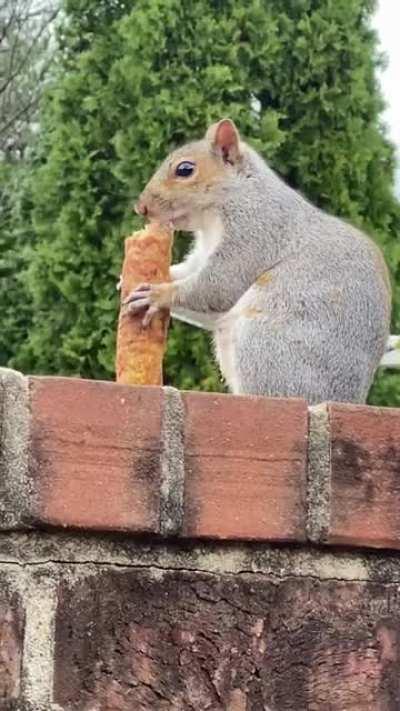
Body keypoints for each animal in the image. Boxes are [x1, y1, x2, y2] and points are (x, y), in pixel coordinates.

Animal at [126, 118, 392, 404]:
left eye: (185, 169)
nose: (141, 208)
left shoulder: (254, 232)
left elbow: (218, 285)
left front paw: (157, 295)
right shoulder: (203, 253)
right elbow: (188, 272)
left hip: (264, 344)